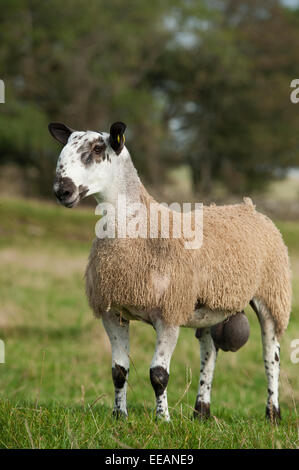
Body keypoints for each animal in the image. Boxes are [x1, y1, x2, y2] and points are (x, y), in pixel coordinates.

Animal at [48, 120, 292, 422]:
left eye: (96, 149)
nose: (62, 191)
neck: (141, 228)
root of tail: (248, 207)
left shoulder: (169, 312)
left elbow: (158, 374)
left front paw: (163, 419)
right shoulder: (113, 311)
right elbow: (118, 371)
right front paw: (119, 415)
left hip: (272, 294)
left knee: (271, 356)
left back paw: (273, 414)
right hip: (209, 307)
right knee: (209, 353)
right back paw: (201, 412)